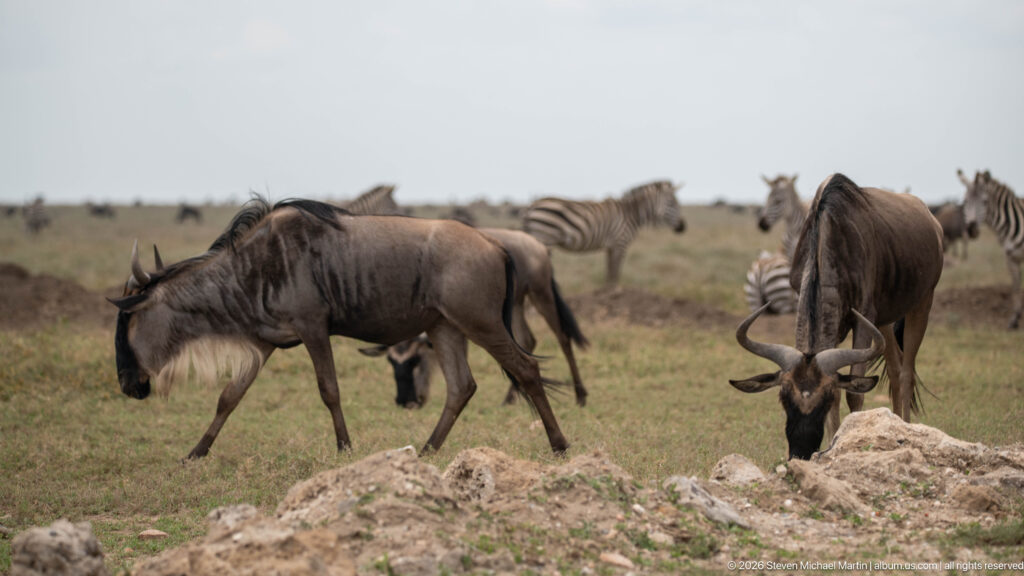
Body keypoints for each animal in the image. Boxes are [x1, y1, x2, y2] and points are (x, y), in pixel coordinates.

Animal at [521, 180, 686, 287]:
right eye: (672, 203)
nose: (682, 227)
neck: (632, 213)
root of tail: (530, 207)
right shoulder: (621, 242)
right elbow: (615, 271)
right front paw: (615, 293)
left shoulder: (610, 247)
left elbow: (609, 271)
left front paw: (607, 293)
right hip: (544, 238)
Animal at [962, 169, 1024, 329]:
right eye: (965, 201)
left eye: (985, 202)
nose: (971, 229)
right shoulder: (1010, 257)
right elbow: (1016, 286)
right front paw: (1014, 319)